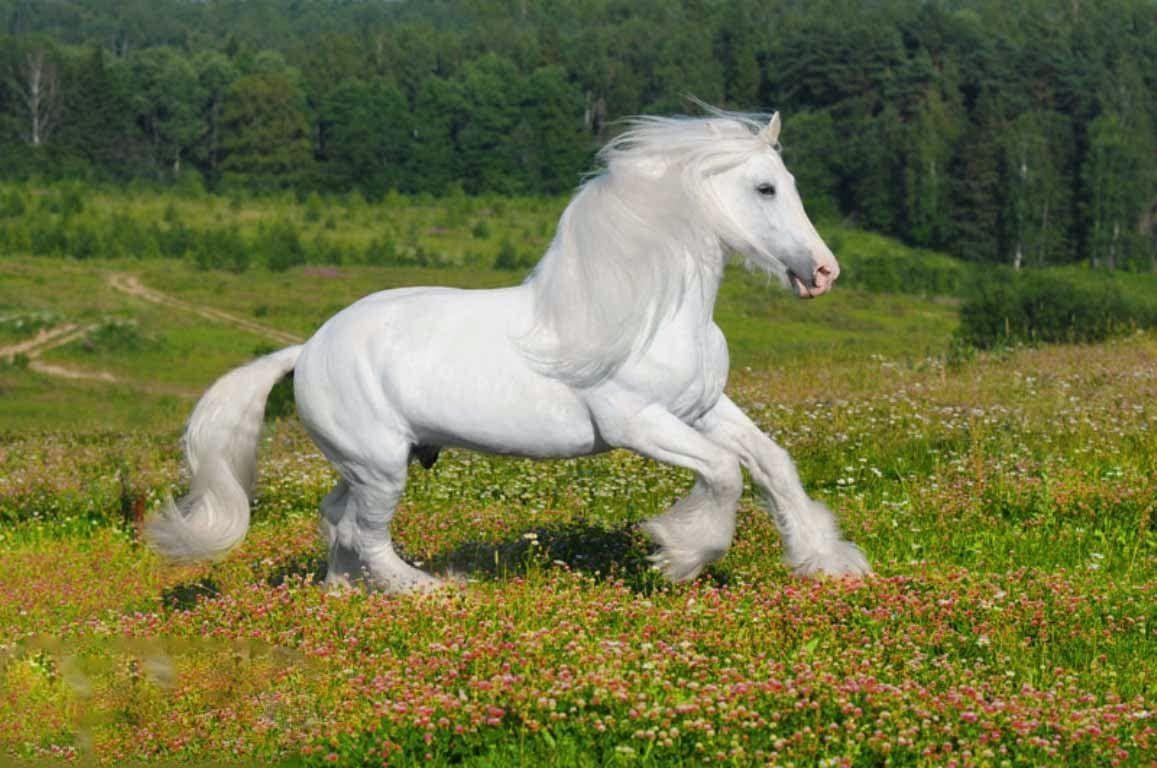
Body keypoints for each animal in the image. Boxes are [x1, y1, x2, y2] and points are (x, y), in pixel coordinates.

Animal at [146, 109, 871, 592]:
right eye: (764, 188)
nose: (823, 272)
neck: (648, 311)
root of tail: (305, 349)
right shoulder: (637, 423)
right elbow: (723, 472)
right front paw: (678, 553)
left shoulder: (701, 409)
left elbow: (771, 464)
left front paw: (829, 563)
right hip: (380, 466)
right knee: (364, 532)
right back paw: (427, 592)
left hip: (364, 463)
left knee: (334, 521)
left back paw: (344, 592)